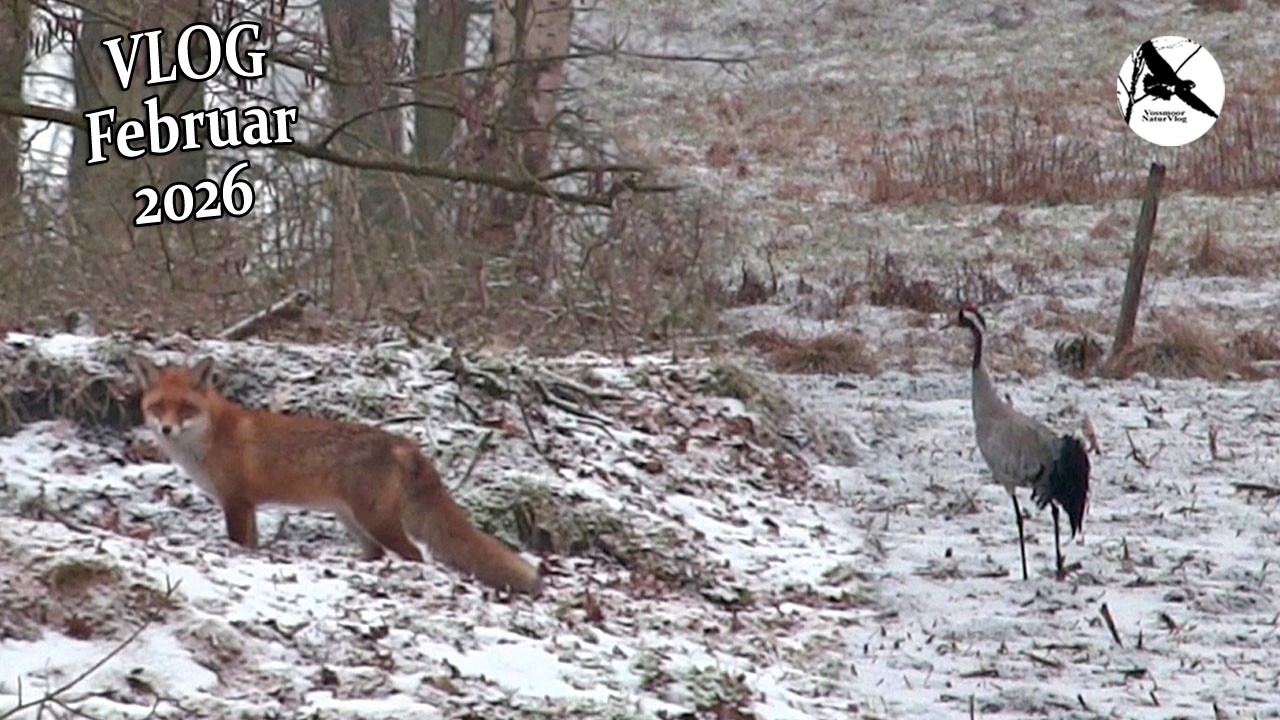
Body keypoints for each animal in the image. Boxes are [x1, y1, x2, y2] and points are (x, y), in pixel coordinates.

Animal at [126, 354, 541, 595]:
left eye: (185, 408)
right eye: (159, 407)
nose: (166, 429)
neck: (208, 439)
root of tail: (405, 443)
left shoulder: (236, 502)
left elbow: (239, 543)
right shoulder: (249, 507)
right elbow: (253, 546)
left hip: (376, 520)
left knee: (415, 554)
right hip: (355, 523)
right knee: (378, 553)